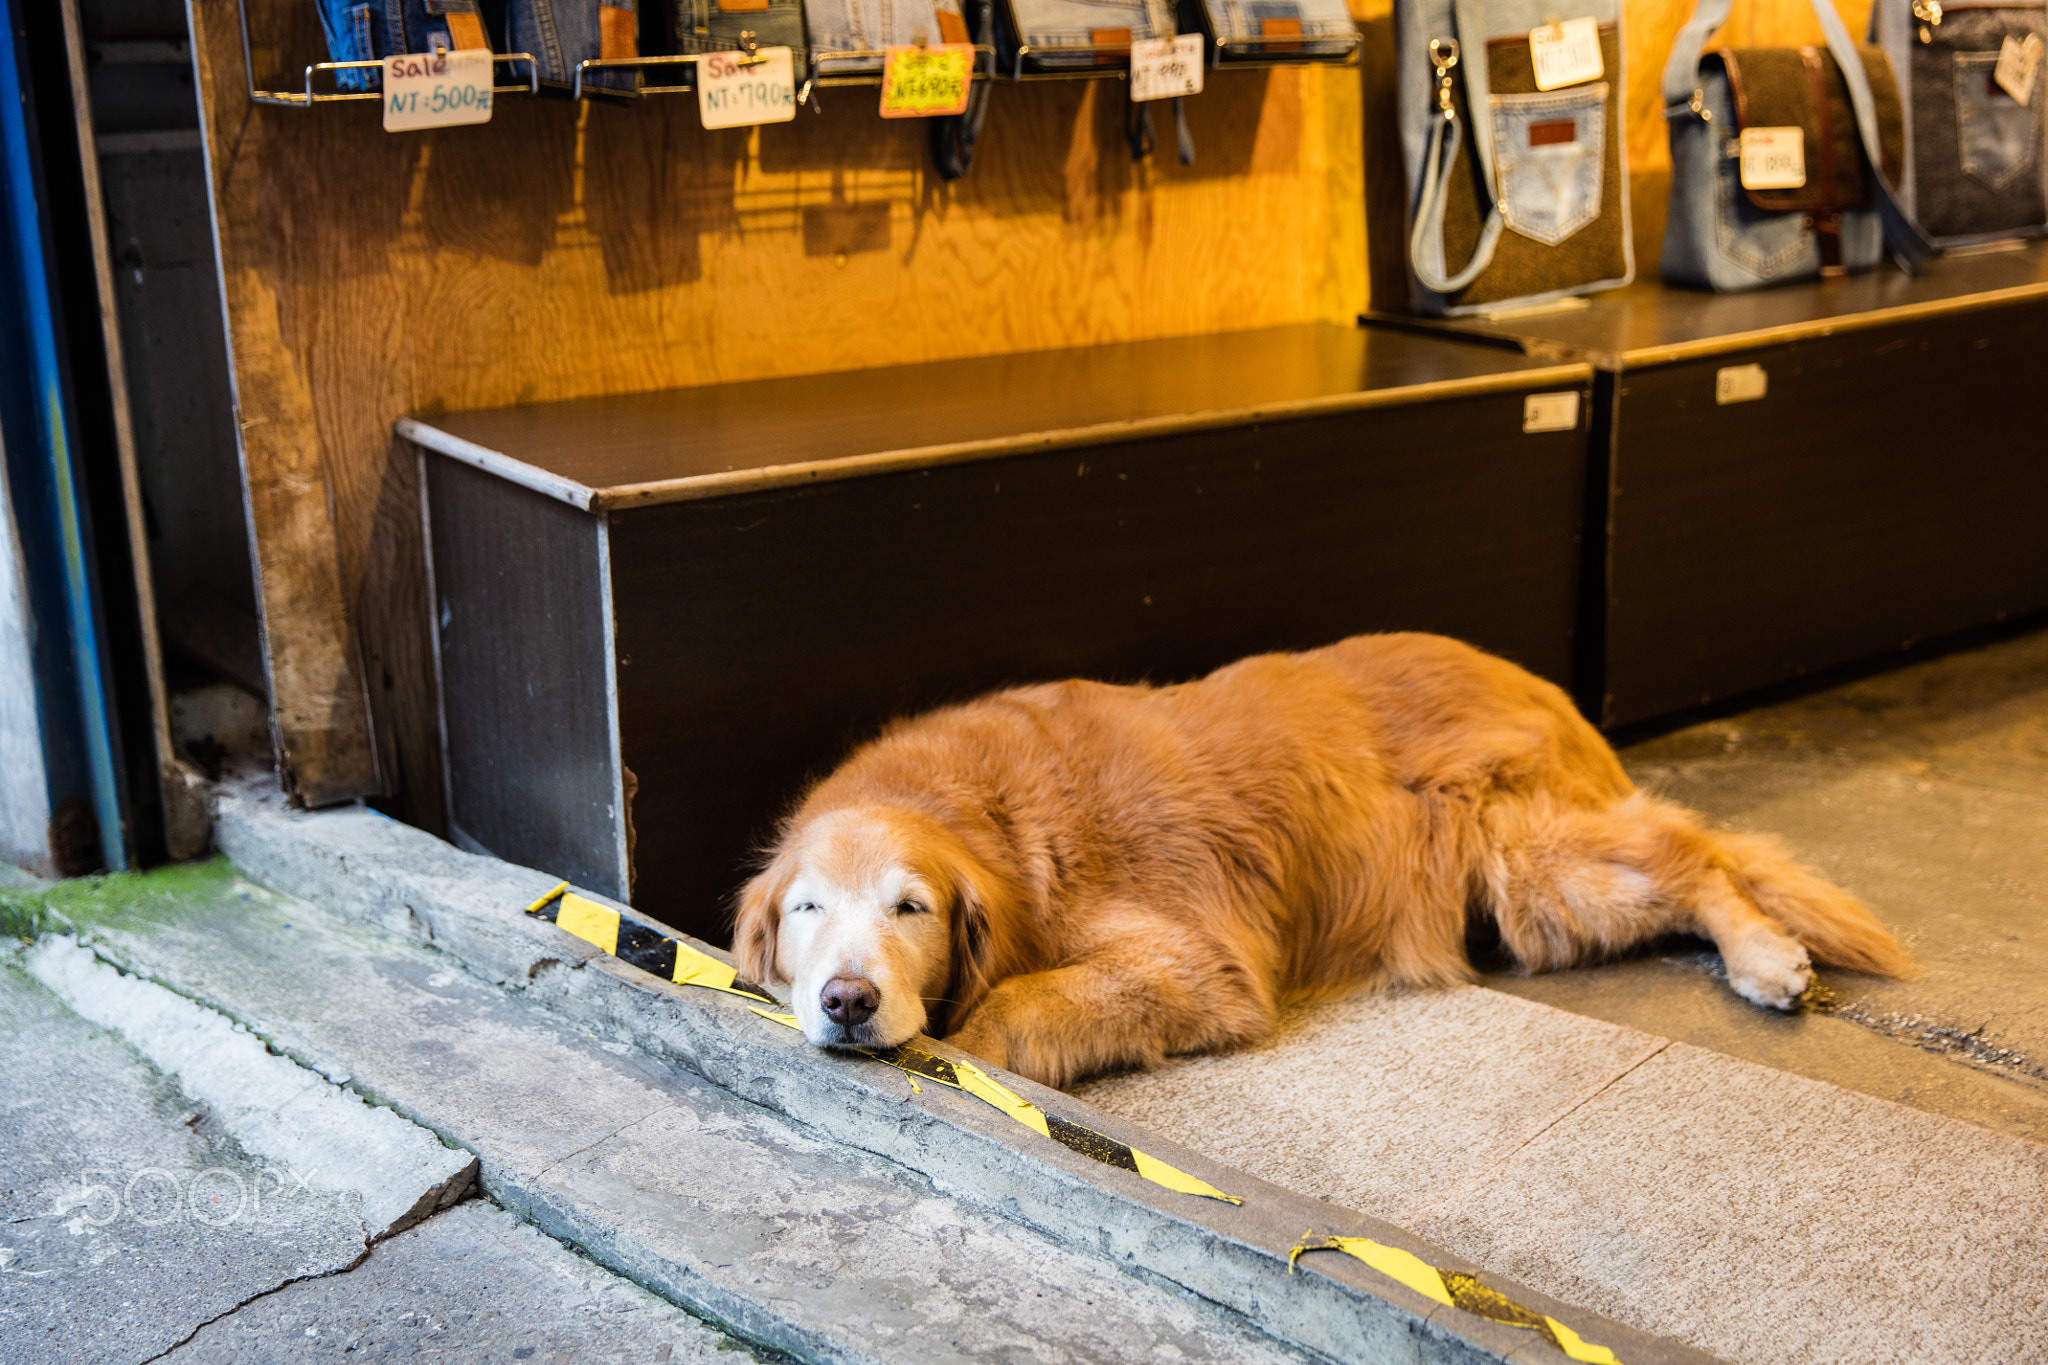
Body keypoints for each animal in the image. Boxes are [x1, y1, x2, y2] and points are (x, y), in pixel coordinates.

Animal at [729, 634, 1908, 1088]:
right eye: (807, 910)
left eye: (911, 908)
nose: (844, 1000)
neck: (993, 821)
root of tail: (1536, 678)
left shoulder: (1198, 966)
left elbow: (1010, 1005)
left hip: (1533, 869)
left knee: (1698, 854)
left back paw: (1765, 957)